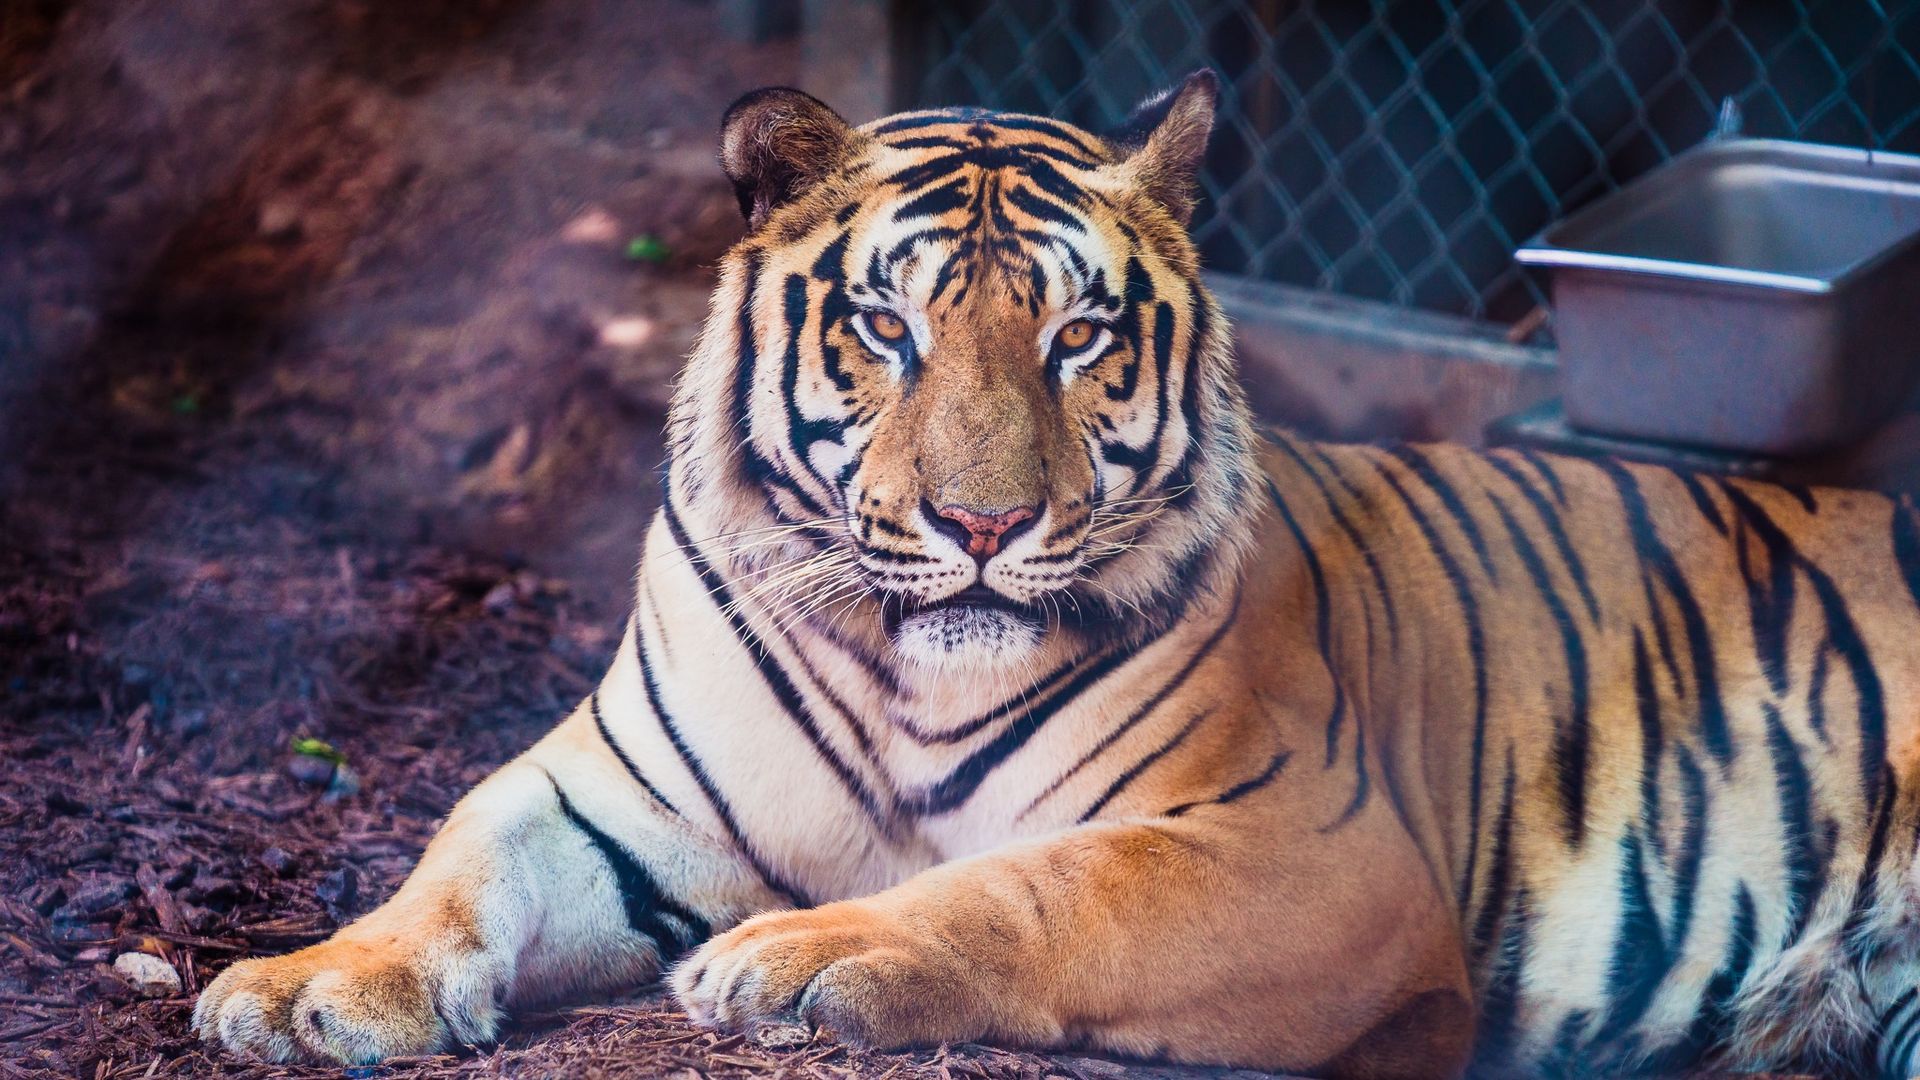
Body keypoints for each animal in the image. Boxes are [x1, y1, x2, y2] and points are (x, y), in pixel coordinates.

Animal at [191, 70, 1920, 1078]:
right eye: (886, 327)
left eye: (1079, 335)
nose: (982, 525)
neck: (899, 668)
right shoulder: (615, 794)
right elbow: (457, 856)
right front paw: (299, 987)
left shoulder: (1315, 844)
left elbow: (1036, 884)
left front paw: (815, 956)